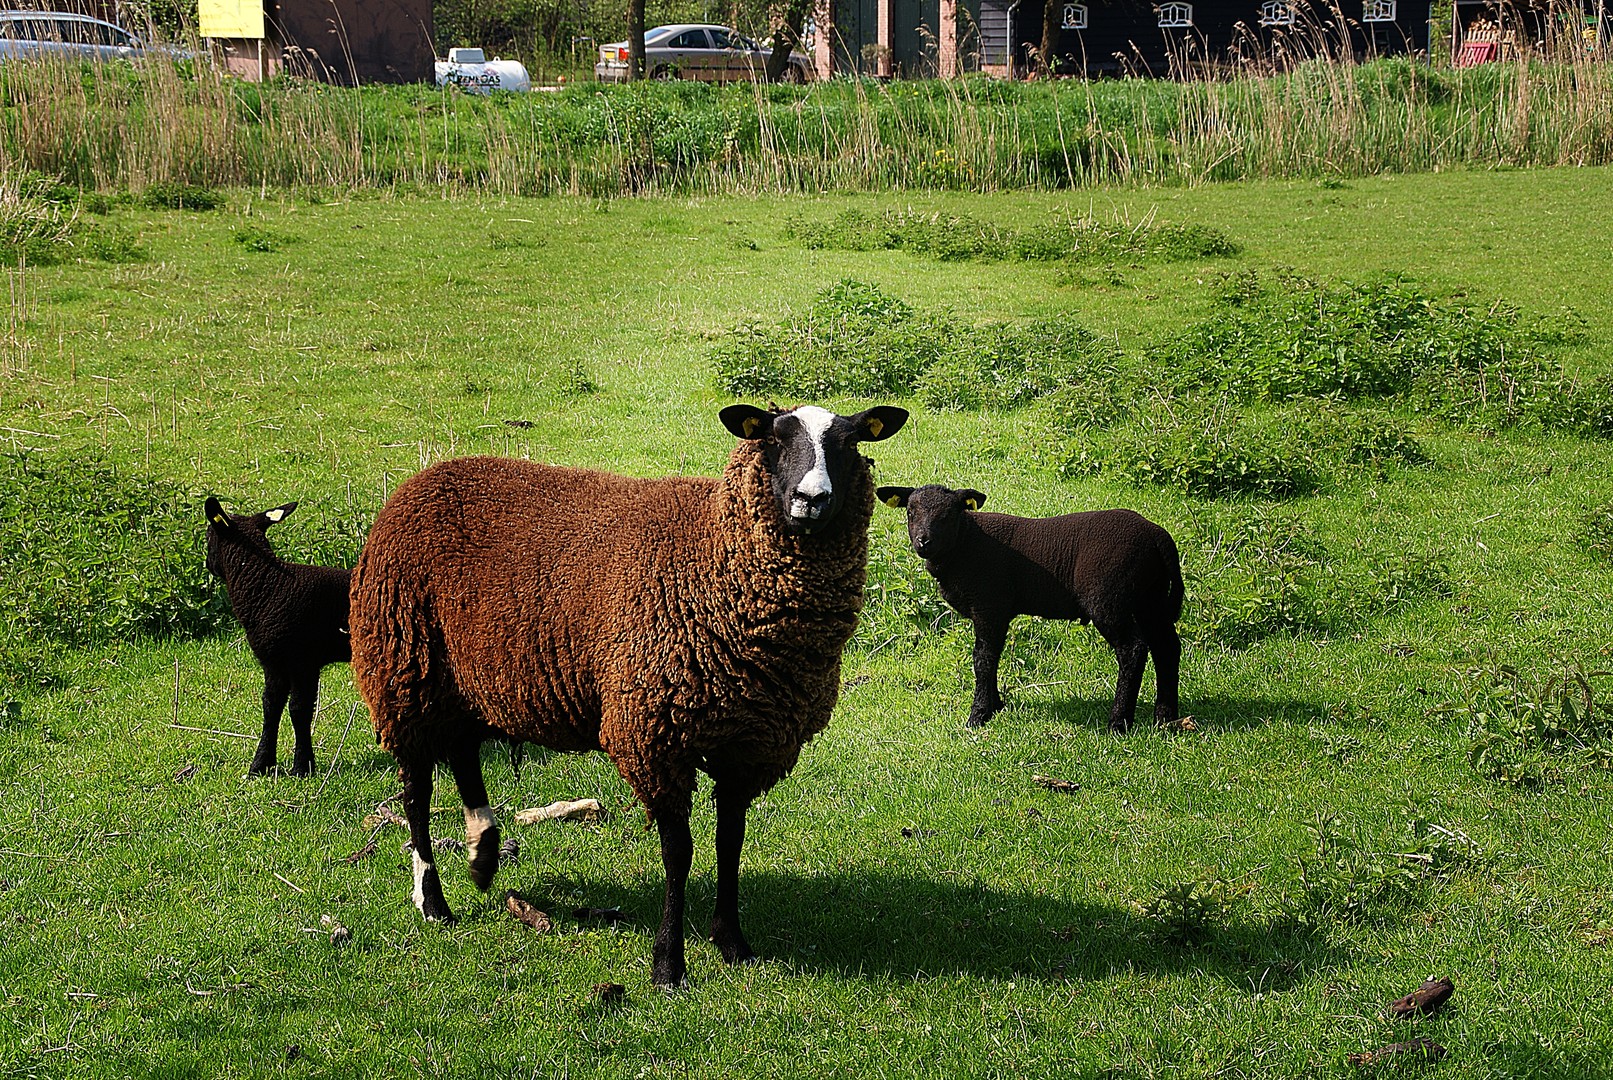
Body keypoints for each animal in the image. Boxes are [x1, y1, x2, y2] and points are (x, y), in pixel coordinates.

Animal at [203, 499, 351, 780]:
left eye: (208, 537)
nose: (208, 565)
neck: (267, 585)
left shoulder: (303, 661)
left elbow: (299, 710)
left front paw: (302, 766)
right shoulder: (274, 662)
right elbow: (271, 707)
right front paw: (260, 765)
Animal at [350, 401, 909, 986]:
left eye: (849, 443)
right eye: (774, 439)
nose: (811, 498)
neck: (712, 558)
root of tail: (420, 481)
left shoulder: (748, 744)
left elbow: (730, 842)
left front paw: (732, 942)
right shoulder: (654, 737)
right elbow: (679, 853)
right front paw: (669, 962)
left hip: (466, 681)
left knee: (462, 755)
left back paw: (483, 856)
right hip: (402, 669)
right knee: (416, 793)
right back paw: (433, 900)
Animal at [877, 490, 1180, 735]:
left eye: (949, 514)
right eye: (910, 512)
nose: (923, 542)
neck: (965, 543)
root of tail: (1158, 537)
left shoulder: (989, 605)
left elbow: (983, 659)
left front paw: (978, 715)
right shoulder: (998, 611)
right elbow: (993, 656)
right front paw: (995, 706)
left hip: (1110, 599)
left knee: (1133, 649)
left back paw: (1118, 723)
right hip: (1150, 598)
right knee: (1167, 648)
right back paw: (1166, 718)